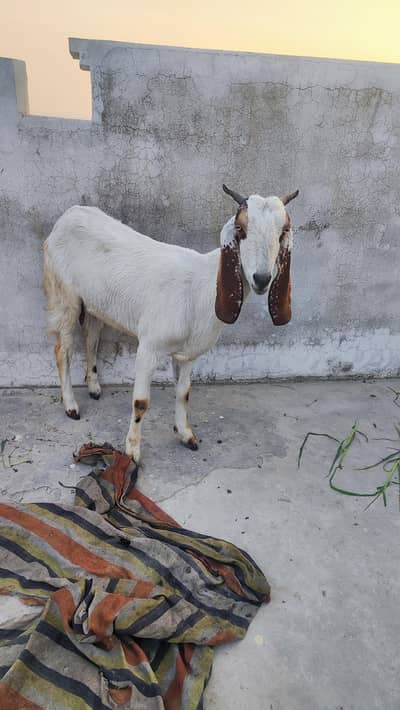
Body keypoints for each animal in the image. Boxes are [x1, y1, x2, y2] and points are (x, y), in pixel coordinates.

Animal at [43, 185, 299, 462]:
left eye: (283, 232)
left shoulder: (188, 355)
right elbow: (141, 402)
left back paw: (94, 387)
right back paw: (71, 406)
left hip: (95, 303)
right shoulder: (149, 348)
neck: (201, 287)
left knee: (92, 336)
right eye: (241, 230)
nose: (261, 279)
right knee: (63, 350)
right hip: (63, 295)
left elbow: (183, 393)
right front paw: (132, 452)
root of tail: (68, 215)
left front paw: (185, 435)